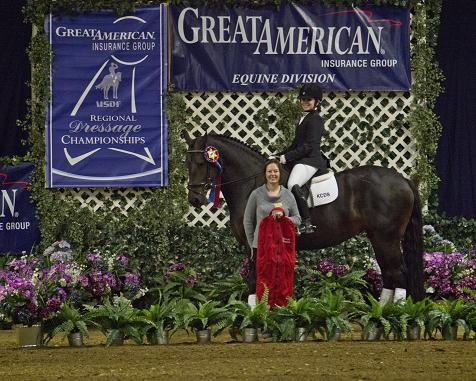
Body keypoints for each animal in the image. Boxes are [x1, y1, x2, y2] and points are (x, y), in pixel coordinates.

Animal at [183, 131, 424, 300]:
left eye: (202, 163)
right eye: (186, 163)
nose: (195, 199)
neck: (251, 184)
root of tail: (402, 179)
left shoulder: (255, 245)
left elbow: (255, 281)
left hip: (386, 237)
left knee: (398, 274)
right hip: (379, 238)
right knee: (390, 275)